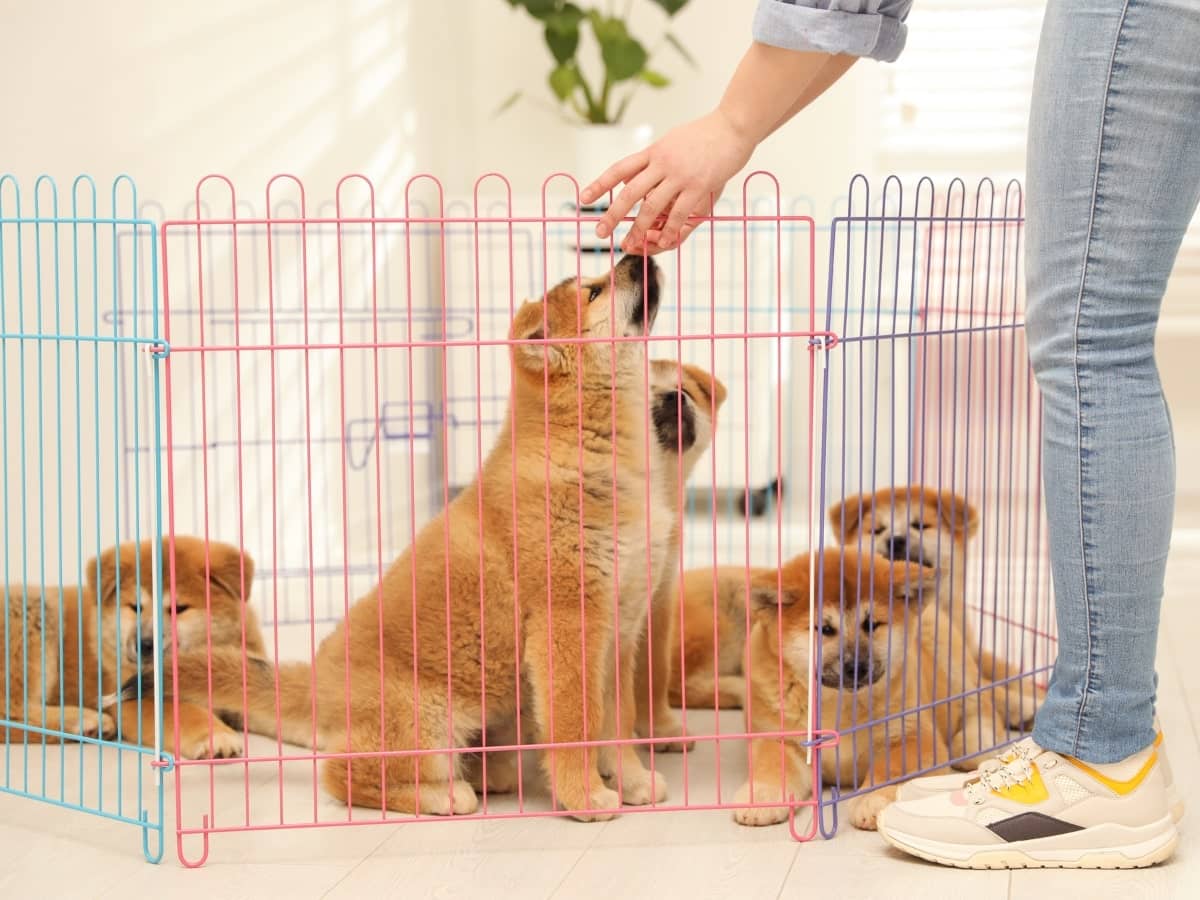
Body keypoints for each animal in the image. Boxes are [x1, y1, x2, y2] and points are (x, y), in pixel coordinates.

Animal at [4, 540, 259, 763]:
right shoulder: (133, 698)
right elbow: (186, 713)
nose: (145, 644)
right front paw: (215, 736)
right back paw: (86, 721)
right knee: (11, 711)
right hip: (34, 607)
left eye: (179, 609)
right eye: (135, 607)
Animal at [724, 542, 940, 830]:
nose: (856, 666)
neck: (838, 705)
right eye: (824, 629)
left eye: (871, 624)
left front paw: (872, 799)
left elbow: (892, 768)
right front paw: (761, 797)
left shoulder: (916, 738)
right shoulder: (778, 737)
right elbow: (772, 766)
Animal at [825, 487, 1041, 768]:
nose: (896, 540)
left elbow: (1003, 670)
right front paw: (1022, 705)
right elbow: (991, 688)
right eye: (877, 530)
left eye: (921, 525)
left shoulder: (971, 648)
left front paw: (1030, 691)